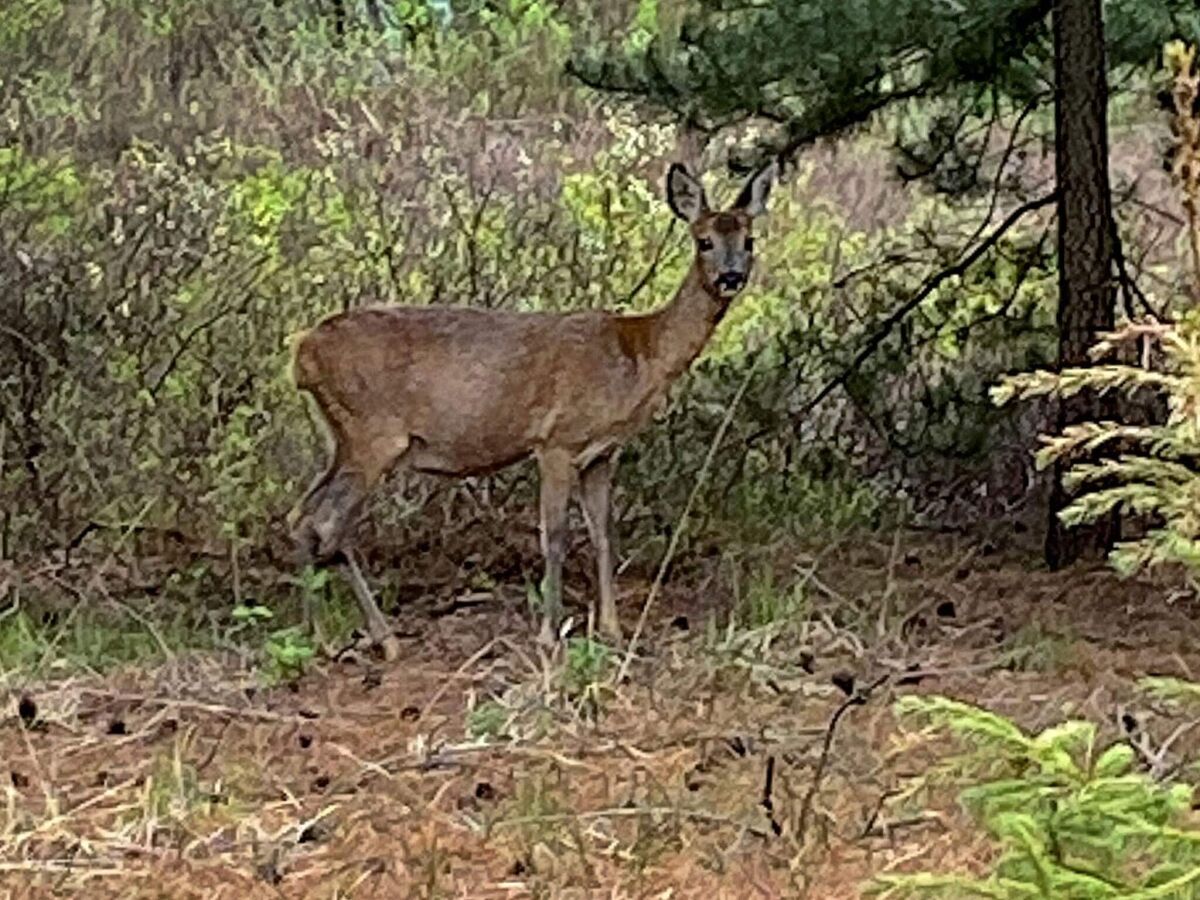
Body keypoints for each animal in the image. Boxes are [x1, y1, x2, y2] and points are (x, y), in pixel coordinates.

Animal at [289, 158, 777, 657]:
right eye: (704, 241)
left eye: (749, 240)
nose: (731, 277)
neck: (638, 353)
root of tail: (302, 353)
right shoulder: (556, 440)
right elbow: (555, 536)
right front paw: (549, 633)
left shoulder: (601, 452)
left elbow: (604, 535)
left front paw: (612, 630)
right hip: (374, 434)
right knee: (326, 522)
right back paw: (368, 639)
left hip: (344, 437)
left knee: (303, 516)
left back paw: (322, 635)